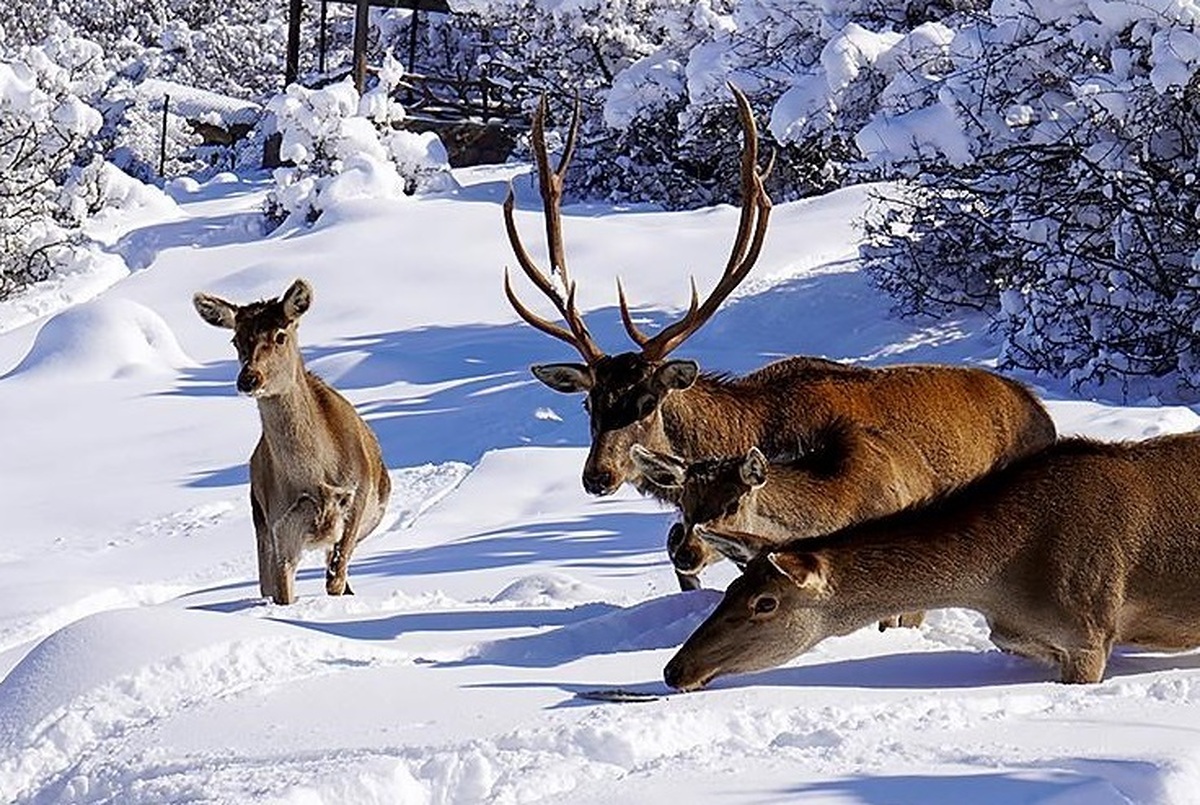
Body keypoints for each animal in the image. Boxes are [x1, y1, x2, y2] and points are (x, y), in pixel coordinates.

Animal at [190, 281, 388, 604]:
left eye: (280, 335)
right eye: (235, 340)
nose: (249, 379)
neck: (316, 480)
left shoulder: (356, 498)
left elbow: (335, 579)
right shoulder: (280, 524)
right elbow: (283, 592)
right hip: (260, 522)